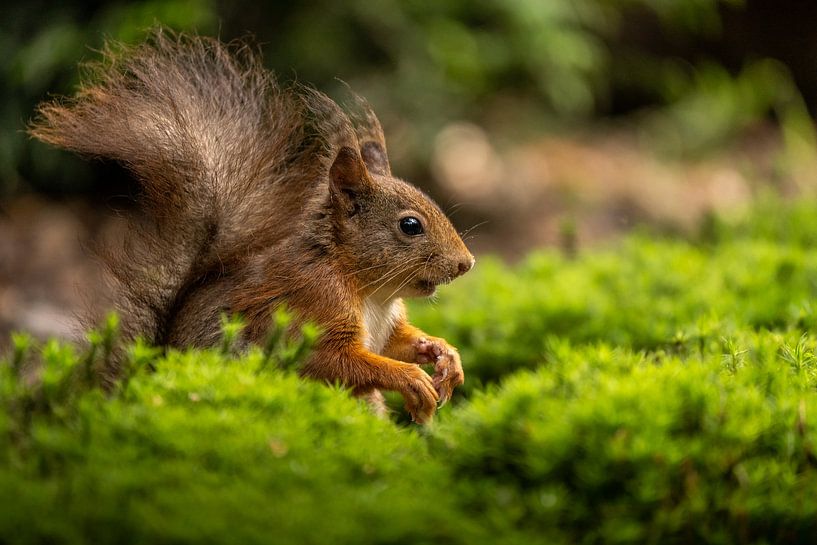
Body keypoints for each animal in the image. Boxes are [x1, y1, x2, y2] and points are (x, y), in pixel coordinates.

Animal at [29, 30, 474, 423]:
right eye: (410, 225)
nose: (466, 264)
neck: (369, 291)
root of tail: (158, 366)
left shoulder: (385, 325)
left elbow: (399, 341)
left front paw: (444, 355)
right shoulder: (313, 304)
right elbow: (330, 362)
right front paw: (411, 378)